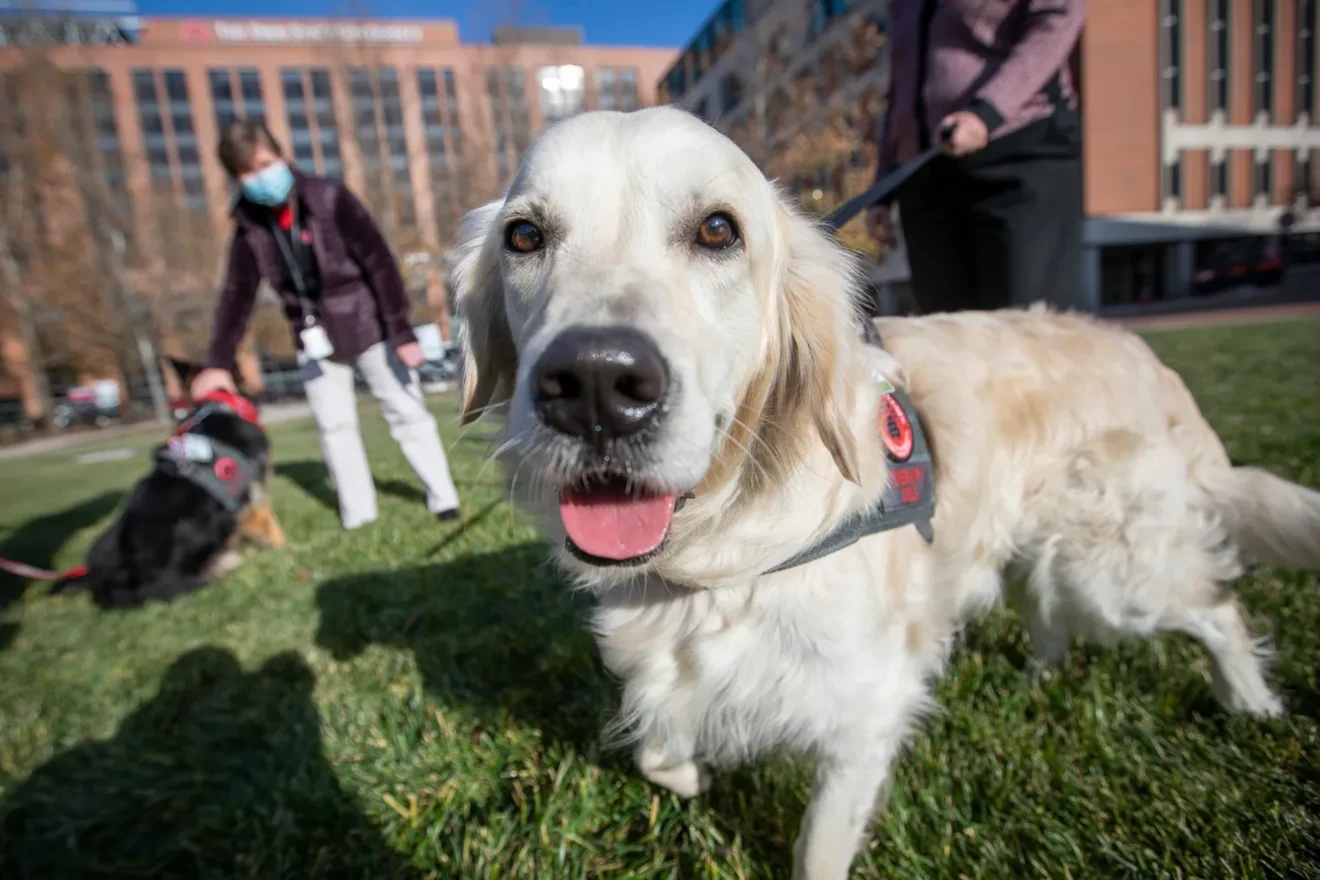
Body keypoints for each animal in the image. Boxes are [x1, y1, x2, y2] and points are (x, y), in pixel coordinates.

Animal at [446, 110, 1320, 880]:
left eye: (718, 231)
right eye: (524, 236)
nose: (595, 384)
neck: (721, 550)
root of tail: (1146, 354)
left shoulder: (865, 705)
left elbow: (817, 847)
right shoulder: (668, 659)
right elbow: (659, 751)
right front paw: (691, 776)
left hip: (1111, 570)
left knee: (1217, 608)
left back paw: (1250, 702)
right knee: (1049, 607)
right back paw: (1041, 675)